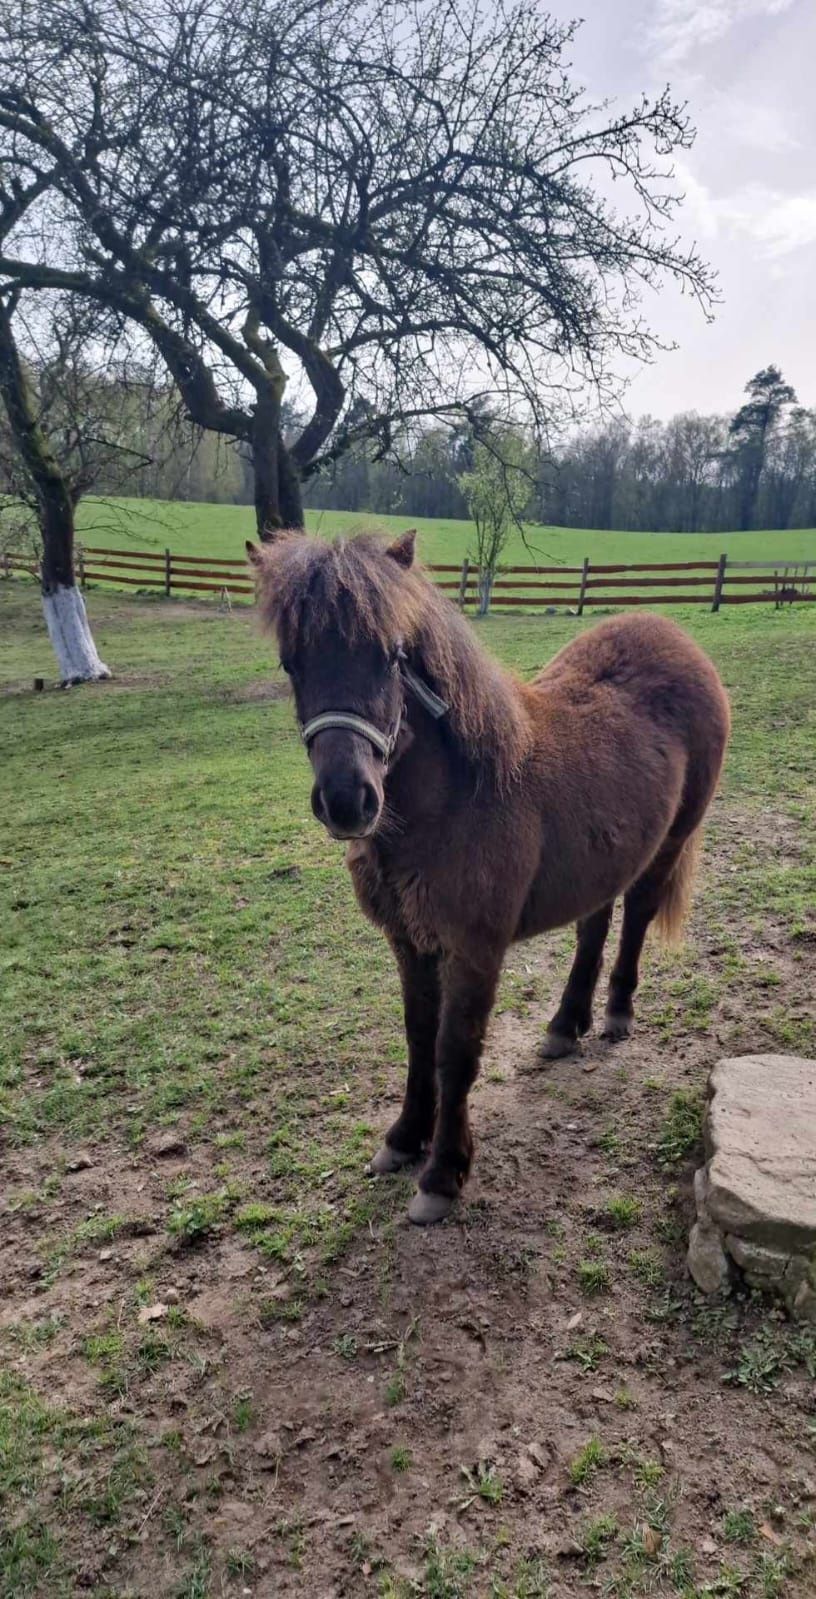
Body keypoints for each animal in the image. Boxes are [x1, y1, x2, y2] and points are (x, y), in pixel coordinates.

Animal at [249, 530, 732, 1215]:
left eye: (391, 657)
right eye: (293, 663)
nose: (347, 800)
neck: (454, 801)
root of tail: (674, 634)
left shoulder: (473, 949)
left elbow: (456, 1051)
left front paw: (443, 1172)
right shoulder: (410, 943)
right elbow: (418, 1039)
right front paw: (404, 1139)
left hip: (671, 840)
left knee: (636, 914)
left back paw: (616, 1014)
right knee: (593, 924)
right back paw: (565, 1025)